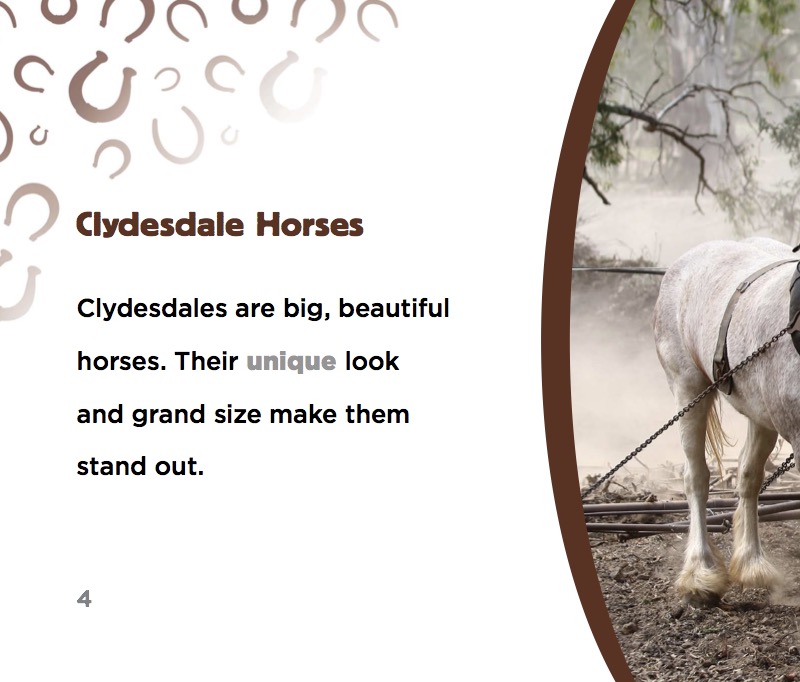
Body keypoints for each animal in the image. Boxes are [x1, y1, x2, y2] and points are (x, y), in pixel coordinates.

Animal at [653, 237, 800, 606]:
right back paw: (699, 572)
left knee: (747, 478)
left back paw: (751, 563)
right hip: (688, 390)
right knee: (696, 478)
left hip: (761, 416)